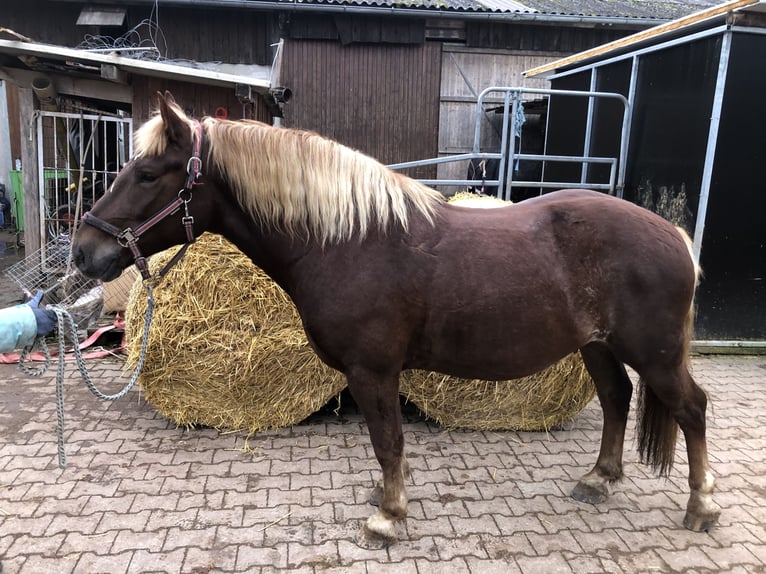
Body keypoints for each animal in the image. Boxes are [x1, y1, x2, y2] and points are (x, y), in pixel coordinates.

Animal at [72, 92, 720, 548]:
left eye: (149, 174)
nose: (82, 251)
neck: (348, 240)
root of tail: (674, 235)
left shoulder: (373, 371)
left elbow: (387, 441)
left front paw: (388, 516)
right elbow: (387, 446)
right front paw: (387, 498)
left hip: (655, 353)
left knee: (691, 408)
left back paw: (702, 505)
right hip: (598, 347)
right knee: (616, 399)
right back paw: (600, 479)